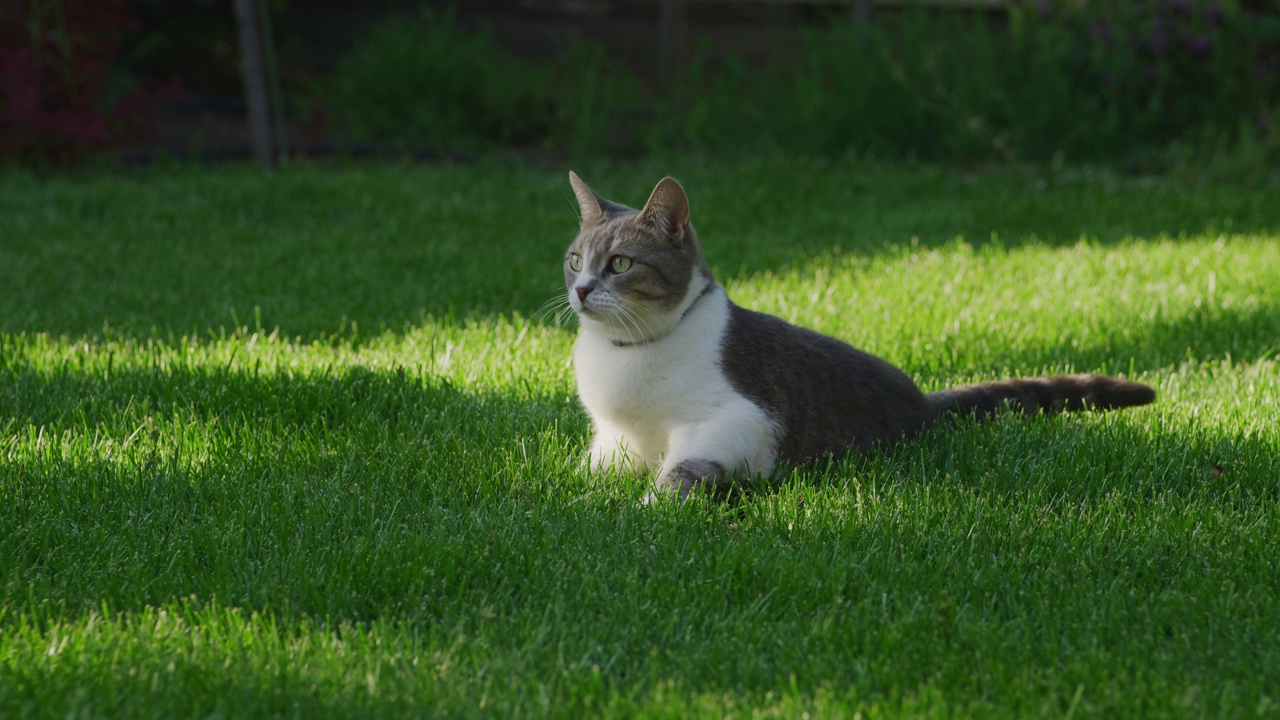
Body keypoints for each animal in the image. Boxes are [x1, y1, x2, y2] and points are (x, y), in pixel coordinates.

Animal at [565, 172, 1157, 499]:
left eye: (620, 263)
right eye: (575, 260)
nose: (582, 290)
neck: (626, 356)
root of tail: (923, 401)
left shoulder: (738, 419)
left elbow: (685, 470)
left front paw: (648, 510)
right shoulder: (612, 440)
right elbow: (588, 470)